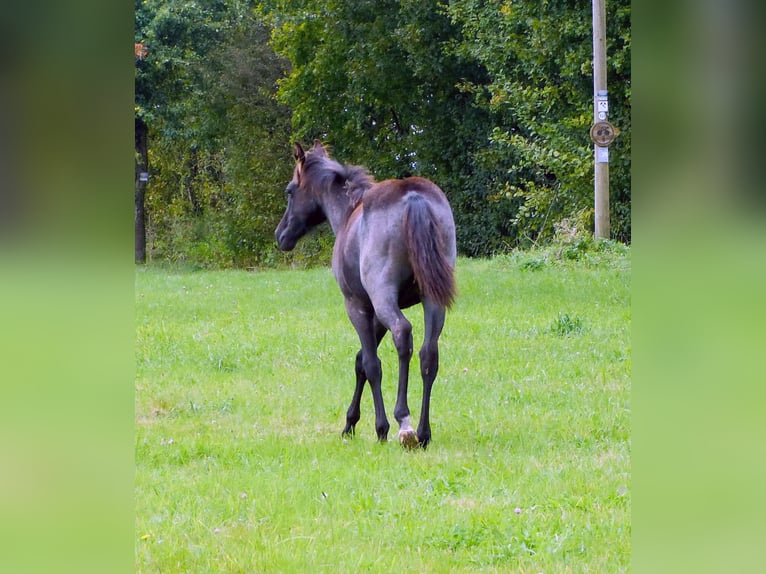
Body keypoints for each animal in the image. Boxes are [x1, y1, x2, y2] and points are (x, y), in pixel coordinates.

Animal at [276, 141, 456, 450]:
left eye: (290, 190)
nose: (281, 235)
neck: (348, 213)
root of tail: (413, 197)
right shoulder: (376, 314)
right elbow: (361, 360)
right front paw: (350, 422)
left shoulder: (359, 305)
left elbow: (370, 364)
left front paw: (377, 427)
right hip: (433, 300)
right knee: (428, 354)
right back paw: (423, 432)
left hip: (384, 298)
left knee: (403, 335)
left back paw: (404, 423)